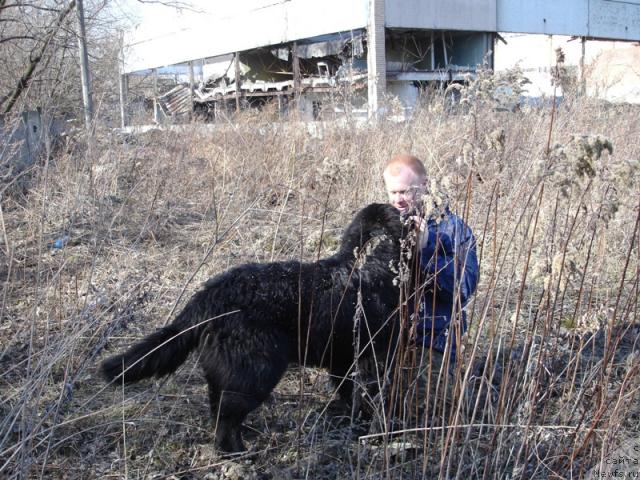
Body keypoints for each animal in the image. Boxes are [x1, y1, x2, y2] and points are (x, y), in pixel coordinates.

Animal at [102, 202, 408, 450]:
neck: (379, 266)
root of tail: (207, 298)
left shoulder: (343, 359)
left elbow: (351, 394)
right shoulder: (373, 358)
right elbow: (370, 396)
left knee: (219, 409)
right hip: (255, 372)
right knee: (226, 420)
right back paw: (237, 452)